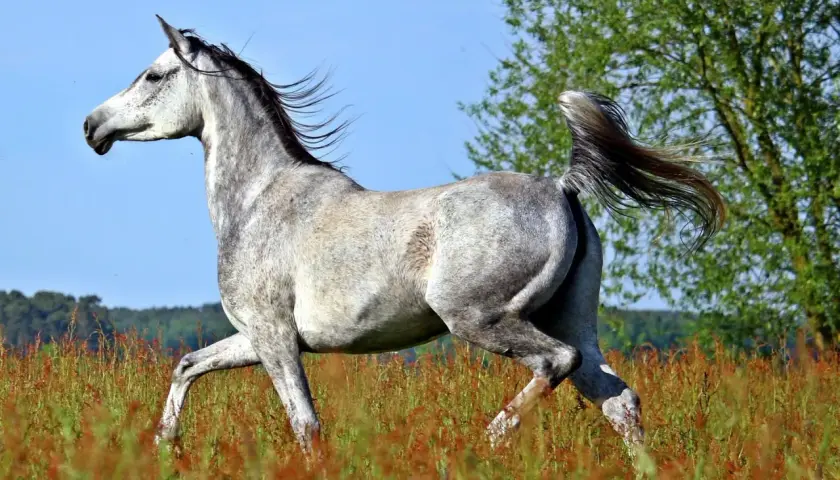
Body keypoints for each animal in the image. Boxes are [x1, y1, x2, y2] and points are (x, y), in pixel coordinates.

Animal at [83, 15, 725, 458]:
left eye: (154, 74)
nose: (93, 125)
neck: (261, 198)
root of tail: (562, 188)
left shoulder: (274, 338)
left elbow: (305, 426)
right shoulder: (256, 337)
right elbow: (187, 366)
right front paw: (165, 446)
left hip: (481, 319)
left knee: (556, 365)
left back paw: (487, 441)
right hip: (573, 320)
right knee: (620, 401)